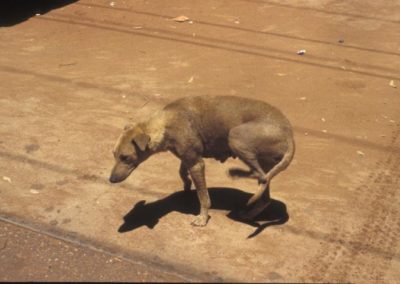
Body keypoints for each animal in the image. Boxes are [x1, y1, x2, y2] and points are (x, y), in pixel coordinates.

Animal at [109, 95, 294, 226]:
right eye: (114, 154)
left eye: (125, 157)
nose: (111, 179)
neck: (165, 123)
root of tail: (290, 135)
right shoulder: (188, 158)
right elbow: (182, 172)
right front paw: (186, 185)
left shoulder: (197, 164)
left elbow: (203, 197)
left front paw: (203, 218)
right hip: (263, 161)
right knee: (264, 191)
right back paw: (249, 213)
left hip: (236, 137)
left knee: (260, 175)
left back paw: (235, 173)